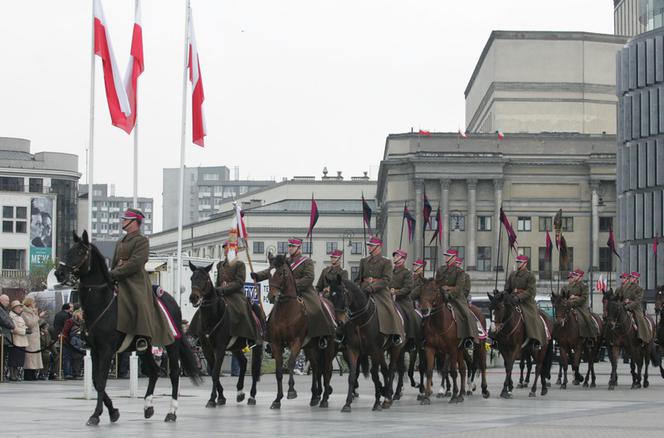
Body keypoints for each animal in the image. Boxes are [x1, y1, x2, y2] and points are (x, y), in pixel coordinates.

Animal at [54, 231, 201, 426]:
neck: (102, 304)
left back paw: (171, 412)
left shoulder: (107, 350)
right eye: (69, 250)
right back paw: (148, 407)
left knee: (175, 373)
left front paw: (96, 414)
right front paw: (113, 411)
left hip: (171, 343)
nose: (59, 273)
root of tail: (172, 301)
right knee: (153, 372)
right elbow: (95, 380)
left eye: (79, 252)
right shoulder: (95, 349)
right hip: (145, 347)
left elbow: (101, 380)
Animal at [187, 260, 262, 408]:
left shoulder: (220, 348)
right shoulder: (207, 349)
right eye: (192, 278)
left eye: (205, 279)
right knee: (243, 363)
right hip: (235, 347)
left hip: (257, 345)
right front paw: (220, 397)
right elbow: (213, 372)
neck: (212, 317)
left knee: (255, 369)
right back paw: (240, 393)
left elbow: (215, 373)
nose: (194, 298)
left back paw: (252, 396)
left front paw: (212, 399)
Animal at [264, 253, 338, 410]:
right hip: (311, 347)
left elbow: (291, 362)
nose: (272, 296)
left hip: (329, 347)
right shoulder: (276, 343)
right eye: (268, 273)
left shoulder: (296, 341)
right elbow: (279, 370)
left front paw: (291, 391)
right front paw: (277, 399)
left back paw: (324, 399)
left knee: (327, 369)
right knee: (316, 368)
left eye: (281, 273)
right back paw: (315, 396)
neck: (286, 311)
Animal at [326, 274, 404, 410]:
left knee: (391, 370)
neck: (361, 320)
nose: (339, 322)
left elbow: (375, 375)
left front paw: (377, 402)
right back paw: (385, 392)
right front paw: (347, 403)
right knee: (385, 370)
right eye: (330, 296)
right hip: (381, 352)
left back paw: (388, 398)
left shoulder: (374, 350)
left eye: (342, 294)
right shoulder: (352, 350)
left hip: (395, 349)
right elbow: (352, 375)